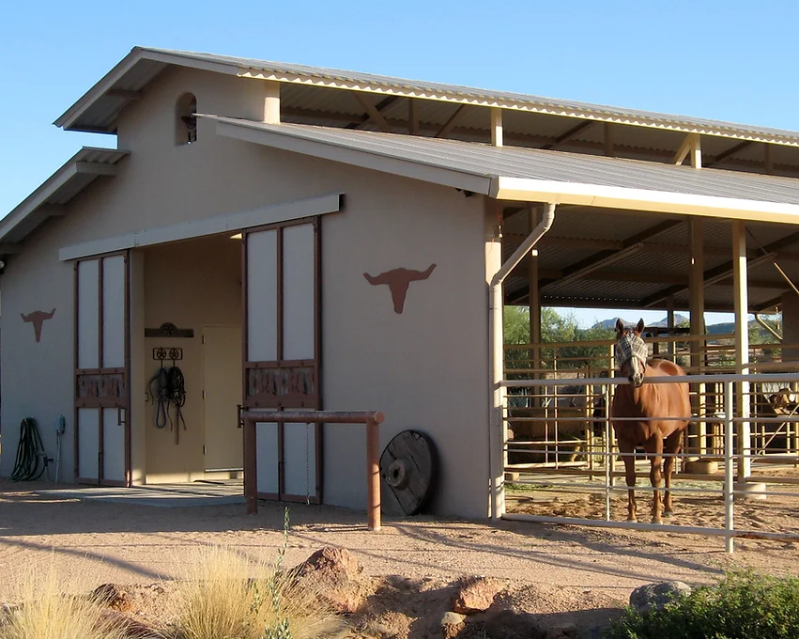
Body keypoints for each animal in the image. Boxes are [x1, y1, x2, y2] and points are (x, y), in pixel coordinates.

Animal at [612, 320, 692, 524]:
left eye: (642, 346)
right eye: (620, 347)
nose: (635, 377)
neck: (636, 402)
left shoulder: (654, 439)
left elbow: (655, 476)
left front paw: (656, 516)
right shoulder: (625, 441)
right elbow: (630, 476)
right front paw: (631, 516)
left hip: (675, 436)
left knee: (667, 468)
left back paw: (667, 508)